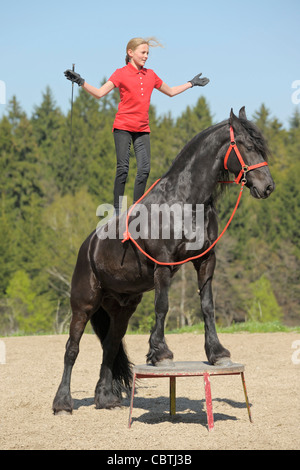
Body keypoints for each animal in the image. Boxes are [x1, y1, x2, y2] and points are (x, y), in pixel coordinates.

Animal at [52, 107, 274, 414]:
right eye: (247, 146)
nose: (268, 187)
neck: (184, 202)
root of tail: (88, 245)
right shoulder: (164, 264)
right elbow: (163, 306)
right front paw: (161, 354)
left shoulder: (206, 261)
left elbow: (207, 306)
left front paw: (217, 353)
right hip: (83, 304)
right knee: (72, 348)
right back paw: (63, 402)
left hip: (121, 309)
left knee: (110, 346)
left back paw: (106, 398)